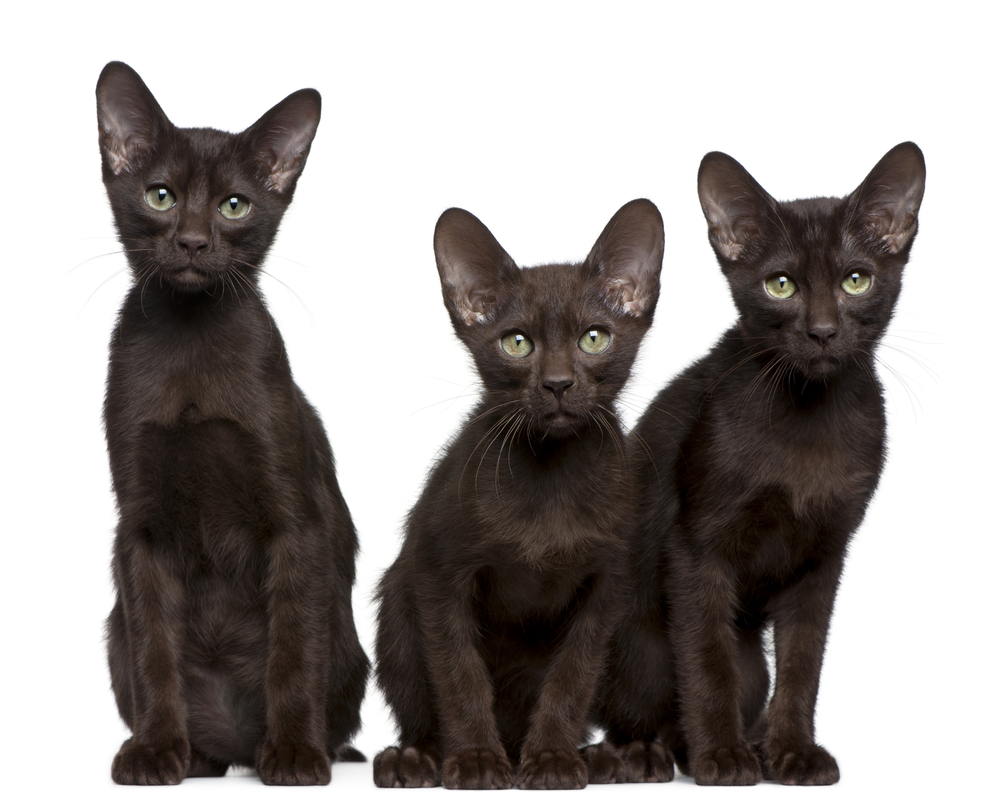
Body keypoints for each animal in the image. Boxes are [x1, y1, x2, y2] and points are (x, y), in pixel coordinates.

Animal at [95, 62, 370, 784]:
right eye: (161, 195)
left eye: (234, 206)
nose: (193, 241)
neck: (192, 340)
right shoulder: (138, 528)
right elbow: (154, 652)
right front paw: (156, 750)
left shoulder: (296, 520)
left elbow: (292, 650)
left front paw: (295, 753)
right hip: (110, 630)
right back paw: (193, 754)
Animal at [374, 198, 664, 788]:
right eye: (517, 343)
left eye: (593, 338)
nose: (556, 383)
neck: (549, 476)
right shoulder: (439, 573)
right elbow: (460, 674)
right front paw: (475, 761)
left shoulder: (608, 585)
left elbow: (572, 677)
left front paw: (553, 758)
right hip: (397, 599)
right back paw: (415, 758)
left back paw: (612, 756)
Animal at [588, 141, 924, 784]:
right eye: (781, 285)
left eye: (856, 280)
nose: (822, 332)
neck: (808, 420)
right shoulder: (696, 547)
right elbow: (707, 659)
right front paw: (722, 756)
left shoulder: (824, 557)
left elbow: (802, 664)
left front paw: (791, 751)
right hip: (637, 638)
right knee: (630, 705)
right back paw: (643, 754)